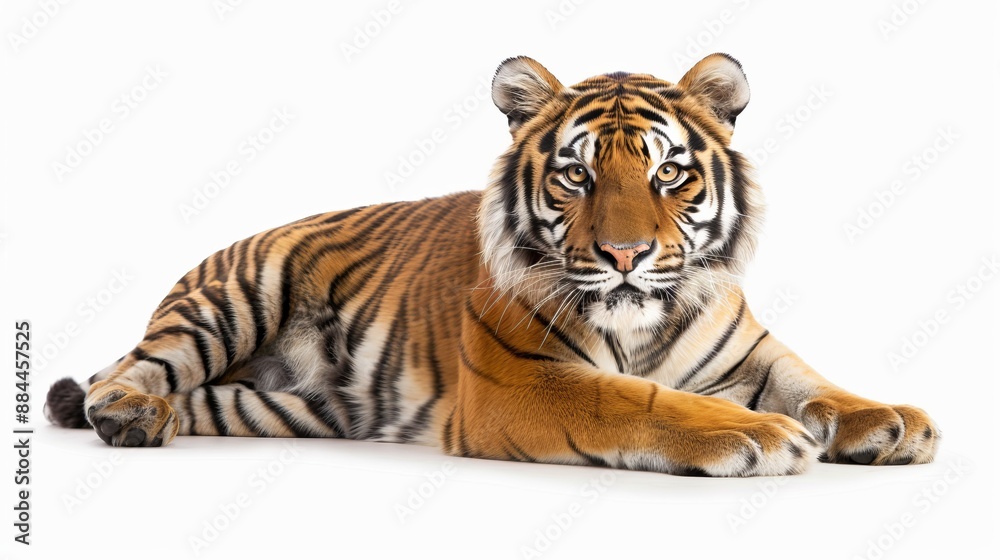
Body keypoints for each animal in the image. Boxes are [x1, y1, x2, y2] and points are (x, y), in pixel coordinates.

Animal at [45, 53, 939, 476]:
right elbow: (642, 401)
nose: (625, 253)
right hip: (230, 299)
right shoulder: (520, 383)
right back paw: (130, 413)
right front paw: (757, 435)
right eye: (577, 174)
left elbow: (810, 379)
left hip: (291, 407)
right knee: (121, 372)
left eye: (667, 174)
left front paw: (888, 420)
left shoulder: (750, 350)